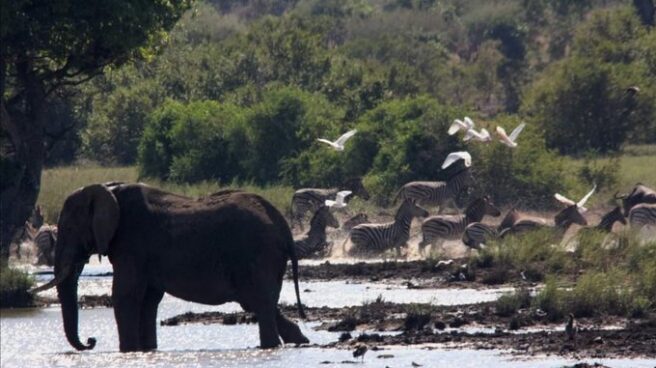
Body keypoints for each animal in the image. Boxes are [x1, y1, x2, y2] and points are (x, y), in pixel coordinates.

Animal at [34, 183, 312, 352]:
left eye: (70, 228)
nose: (91, 341)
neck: (110, 189)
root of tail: (283, 226)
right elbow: (148, 299)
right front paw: (147, 350)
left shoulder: (132, 244)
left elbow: (125, 295)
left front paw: (128, 351)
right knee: (260, 302)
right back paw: (299, 339)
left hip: (257, 254)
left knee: (258, 302)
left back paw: (272, 346)